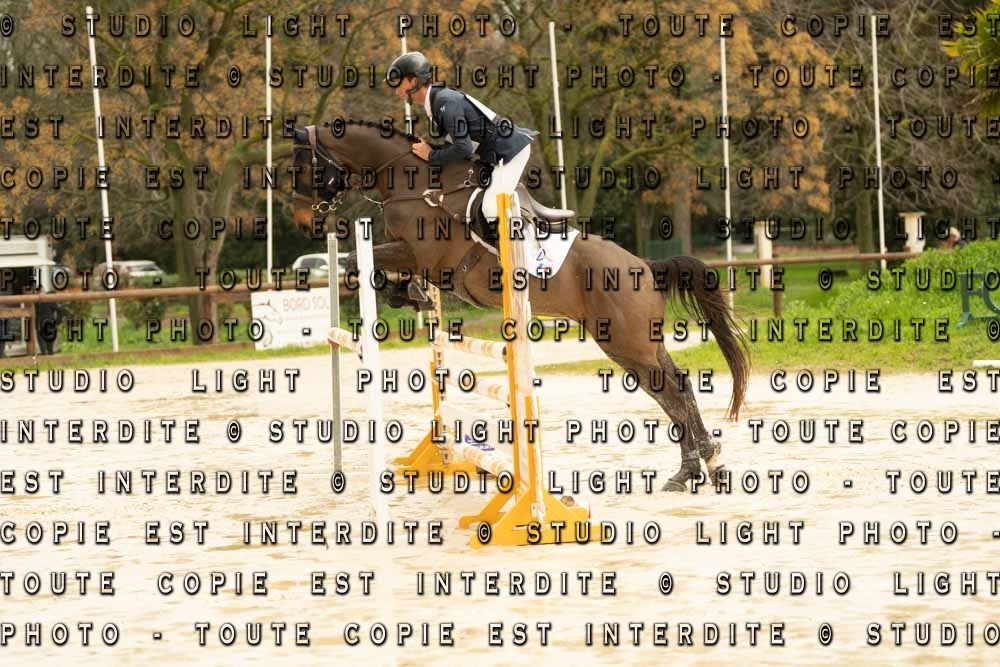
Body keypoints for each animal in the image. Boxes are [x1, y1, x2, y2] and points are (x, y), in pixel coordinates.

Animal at [289, 120, 750, 491]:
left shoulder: (418, 255)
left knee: (671, 392)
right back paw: (700, 467)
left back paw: (698, 466)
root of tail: (646, 267)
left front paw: (404, 294)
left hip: (626, 343)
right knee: (677, 388)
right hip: (639, 345)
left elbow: (357, 260)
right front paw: (408, 295)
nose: (305, 222)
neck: (417, 186)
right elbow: (367, 268)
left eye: (305, 167)